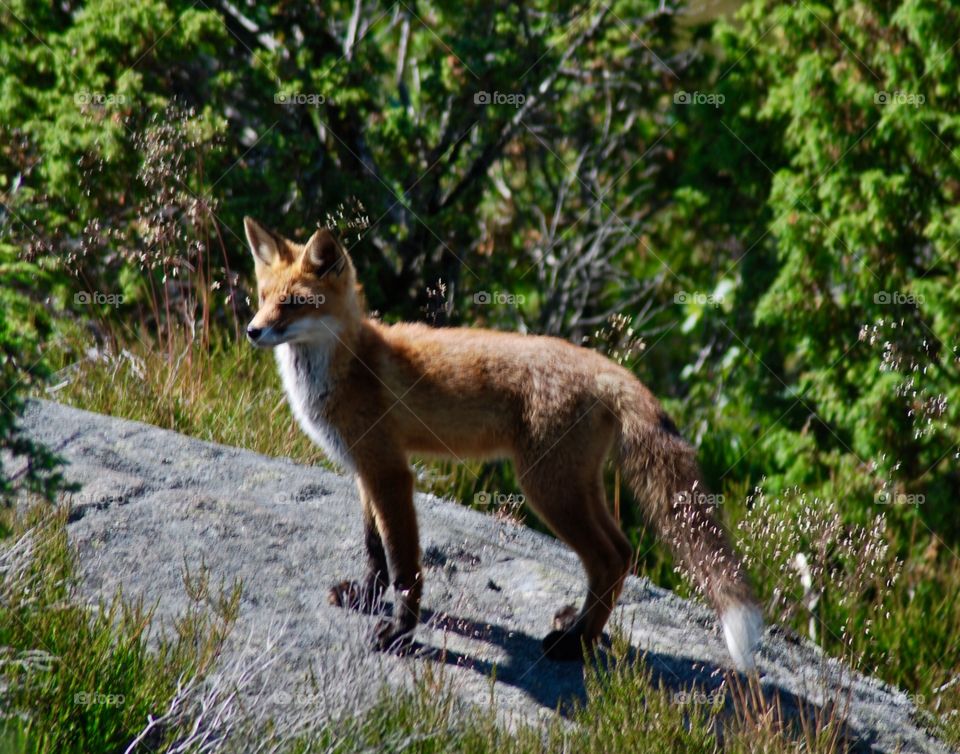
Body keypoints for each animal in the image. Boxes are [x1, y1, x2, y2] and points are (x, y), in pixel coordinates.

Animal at [243, 217, 764, 670]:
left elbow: (404, 565)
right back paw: (579, 632)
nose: (252, 330)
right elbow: (375, 551)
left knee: (610, 558)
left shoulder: (390, 472)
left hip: (544, 488)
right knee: (622, 554)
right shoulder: (364, 469)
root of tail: (605, 367)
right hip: (575, 486)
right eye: (264, 298)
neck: (347, 367)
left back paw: (573, 647)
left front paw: (399, 632)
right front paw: (366, 598)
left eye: (294, 303)